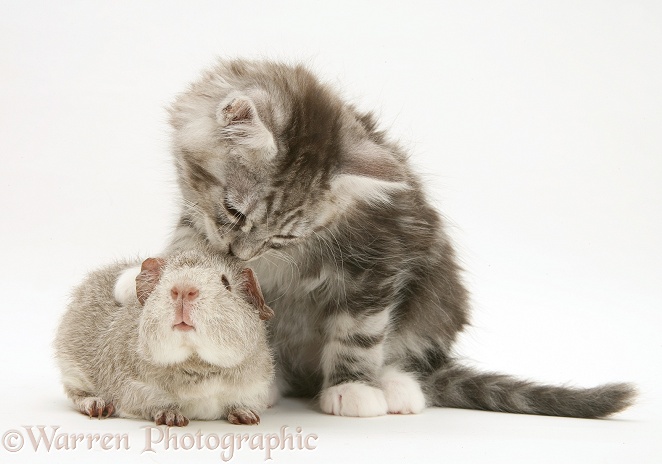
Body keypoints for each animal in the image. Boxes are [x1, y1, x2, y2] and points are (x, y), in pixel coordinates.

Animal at [116, 59, 636, 418]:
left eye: (282, 236)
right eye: (233, 211)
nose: (240, 252)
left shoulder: (381, 257)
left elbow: (360, 331)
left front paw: (353, 388)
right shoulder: (200, 220)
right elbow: (190, 246)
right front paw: (140, 280)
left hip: (439, 296)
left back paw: (395, 386)